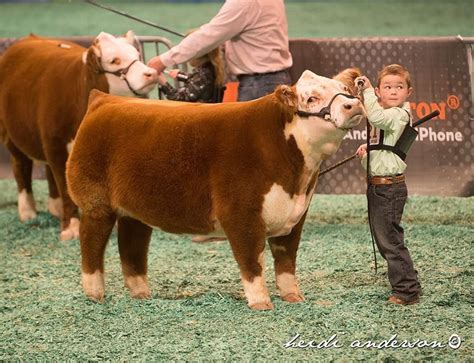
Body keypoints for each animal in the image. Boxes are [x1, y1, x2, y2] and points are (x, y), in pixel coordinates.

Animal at [0, 32, 159, 242]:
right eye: (114, 60)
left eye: (137, 55)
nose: (151, 73)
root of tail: (30, 38)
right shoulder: (57, 147)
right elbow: (66, 189)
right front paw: (71, 228)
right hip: (12, 136)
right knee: (21, 167)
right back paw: (28, 212)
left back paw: (56, 208)